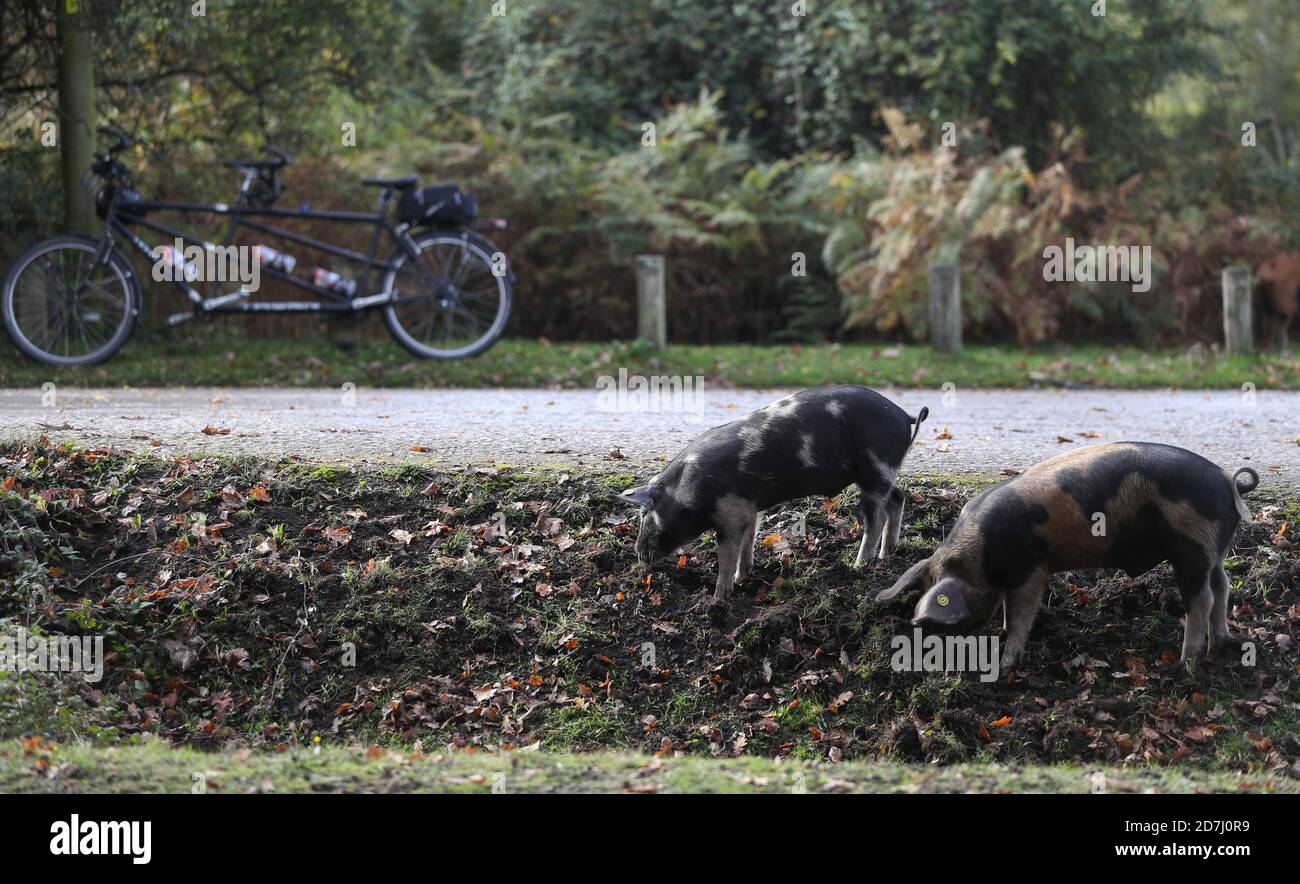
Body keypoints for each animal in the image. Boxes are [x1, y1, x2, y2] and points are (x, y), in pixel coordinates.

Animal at [616, 387, 925, 600]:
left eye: (644, 513)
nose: (637, 553)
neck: (688, 489)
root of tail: (903, 415)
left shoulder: (731, 512)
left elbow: (727, 555)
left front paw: (719, 597)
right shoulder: (750, 507)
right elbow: (748, 543)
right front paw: (744, 578)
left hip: (875, 469)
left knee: (876, 518)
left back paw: (860, 565)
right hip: (883, 474)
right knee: (898, 498)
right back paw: (886, 555)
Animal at [873, 441, 1258, 670]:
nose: (923, 632)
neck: (979, 554)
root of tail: (1229, 482)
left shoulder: (1031, 571)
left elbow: (1022, 614)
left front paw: (1007, 662)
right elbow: (1008, 610)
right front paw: (1001, 633)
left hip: (1192, 546)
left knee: (1202, 598)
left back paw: (1185, 662)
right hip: (1213, 551)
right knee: (1223, 587)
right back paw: (1219, 646)